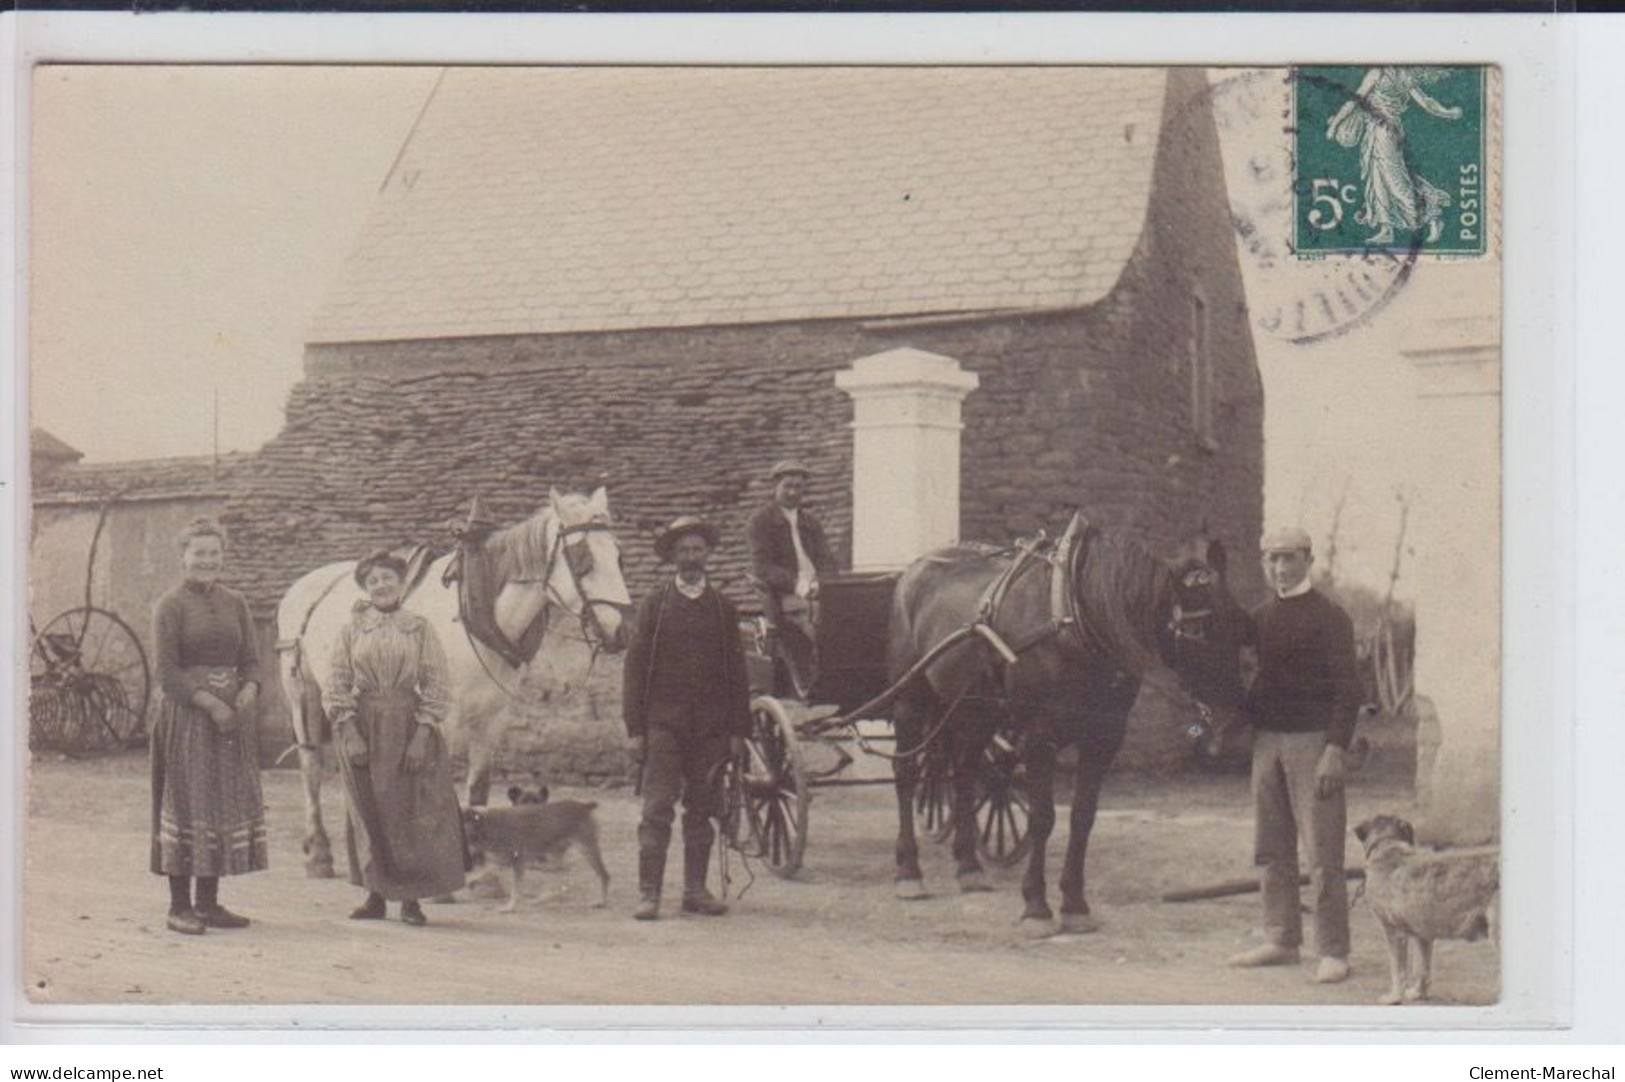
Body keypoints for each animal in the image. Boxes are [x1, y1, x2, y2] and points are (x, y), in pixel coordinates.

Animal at [276, 487, 630, 877]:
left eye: (618, 555)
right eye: (582, 557)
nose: (623, 631)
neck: (476, 619)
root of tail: (306, 584)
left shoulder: (492, 719)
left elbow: (478, 788)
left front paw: (476, 857)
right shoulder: (439, 720)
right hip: (303, 692)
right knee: (311, 766)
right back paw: (319, 852)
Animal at [468, 792, 611, 909]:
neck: (490, 825)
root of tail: (584, 806)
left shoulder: (518, 863)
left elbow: (515, 889)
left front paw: (510, 907)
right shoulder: (503, 862)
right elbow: (486, 873)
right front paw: (473, 882)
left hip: (587, 850)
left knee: (604, 875)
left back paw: (601, 902)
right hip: (561, 851)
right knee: (557, 871)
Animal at [884, 513, 1248, 929]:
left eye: (1241, 624)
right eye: (1199, 629)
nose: (1235, 724)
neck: (1075, 619)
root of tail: (914, 569)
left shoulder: (1104, 738)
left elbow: (1082, 818)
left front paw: (1074, 904)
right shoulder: (1039, 737)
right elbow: (1042, 818)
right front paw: (1036, 904)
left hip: (974, 709)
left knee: (963, 773)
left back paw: (969, 867)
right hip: (910, 700)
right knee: (906, 775)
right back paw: (909, 871)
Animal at [1358, 809, 1495, 1000]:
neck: (1388, 847)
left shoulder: (1393, 931)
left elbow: (1397, 969)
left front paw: (1394, 997)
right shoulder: (1422, 935)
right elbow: (1422, 967)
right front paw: (1418, 992)